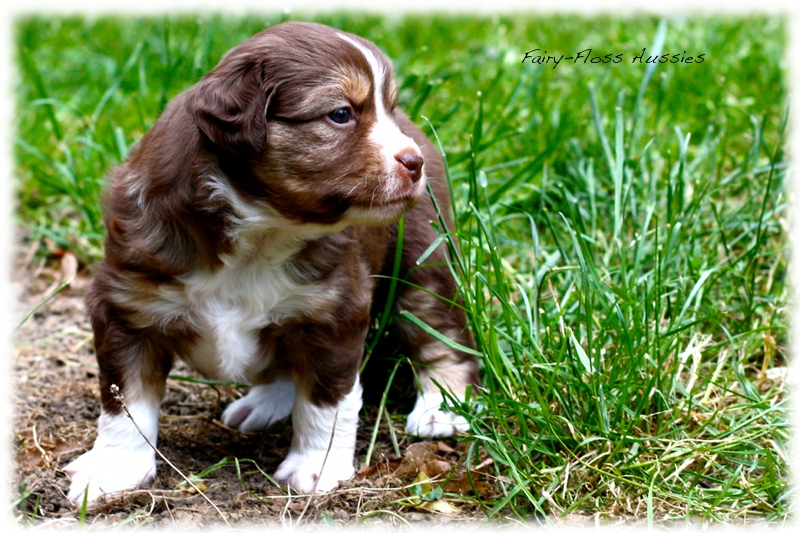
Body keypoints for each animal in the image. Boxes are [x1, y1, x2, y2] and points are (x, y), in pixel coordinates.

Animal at [65, 20, 478, 502]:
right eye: (341, 114)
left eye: (388, 110)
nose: (413, 162)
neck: (262, 232)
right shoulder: (127, 308)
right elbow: (125, 402)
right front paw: (114, 469)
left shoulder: (334, 310)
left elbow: (326, 401)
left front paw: (316, 468)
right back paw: (262, 403)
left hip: (421, 262)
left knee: (442, 336)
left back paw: (440, 409)